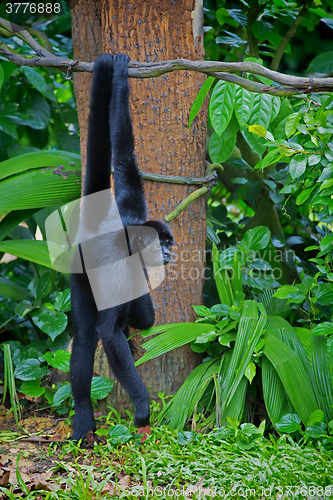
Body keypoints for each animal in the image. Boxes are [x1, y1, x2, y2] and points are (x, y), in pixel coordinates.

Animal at [68, 53, 172, 442]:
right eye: (162, 245)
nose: (170, 253)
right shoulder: (117, 266)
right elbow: (107, 334)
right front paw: (142, 407)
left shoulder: (133, 208)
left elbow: (125, 159)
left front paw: (120, 80)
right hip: (80, 277)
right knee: (86, 337)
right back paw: (83, 415)